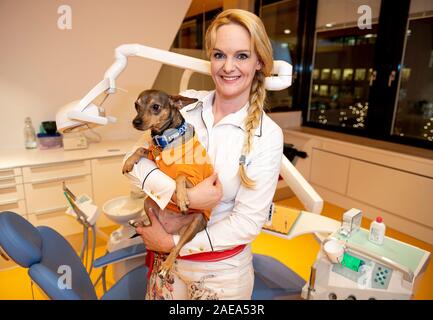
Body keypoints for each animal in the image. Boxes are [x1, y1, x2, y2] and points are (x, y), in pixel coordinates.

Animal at [122, 89, 213, 278]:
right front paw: (129, 162)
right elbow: (141, 149)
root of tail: (169, 229)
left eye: (156, 107)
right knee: (150, 222)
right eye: (136, 105)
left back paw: (166, 265)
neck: (166, 138)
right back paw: (139, 222)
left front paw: (182, 200)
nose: (136, 121)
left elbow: (180, 176)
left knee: (177, 246)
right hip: (149, 202)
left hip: (196, 221)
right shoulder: (152, 154)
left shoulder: (195, 181)